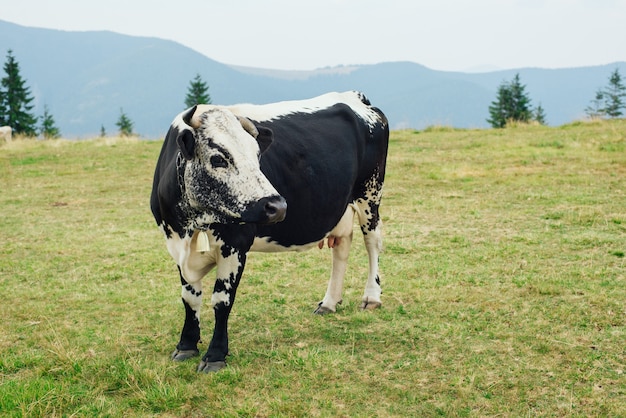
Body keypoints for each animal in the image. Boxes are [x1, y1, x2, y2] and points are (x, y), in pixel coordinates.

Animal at [150, 90, 386, 372]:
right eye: (218, 158)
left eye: (257, 156)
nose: (277, 206)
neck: (192, 225)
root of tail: (356, 97)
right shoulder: (176, 244)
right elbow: (190, 298)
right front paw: (186, 344)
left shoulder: (235, 244)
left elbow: (222, 300)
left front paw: (215, 355)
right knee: (342, 246)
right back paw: (329, 302)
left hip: (370, 195)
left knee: (373, 243)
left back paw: (372, 297)